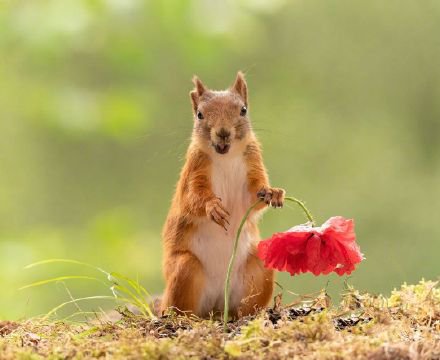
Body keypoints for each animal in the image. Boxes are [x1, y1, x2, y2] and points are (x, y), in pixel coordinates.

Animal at [162, 71, 286, 318]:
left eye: (243, 110)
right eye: (199, 114)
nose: (223, 133)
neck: (226, 157)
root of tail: (218, 304)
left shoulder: (253, 163)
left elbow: (254, 197)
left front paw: (273, 192)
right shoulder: (194, 171)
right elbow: (192, 199)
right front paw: (213, 207)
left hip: (258, 267)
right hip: (184, 269)